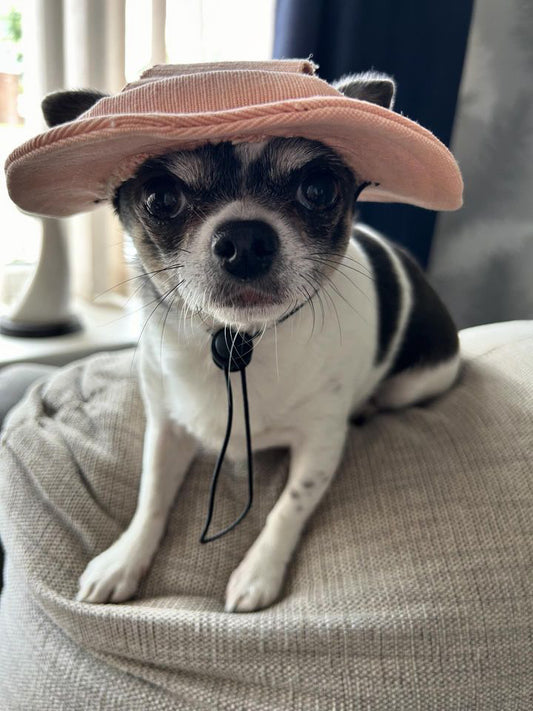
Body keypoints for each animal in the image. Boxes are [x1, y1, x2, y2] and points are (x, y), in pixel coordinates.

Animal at [41, 71, 460, 612]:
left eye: (319, 189)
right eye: (161, 198)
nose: (244, 239)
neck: (236, 342)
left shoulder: (320, 443)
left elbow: (288, 507)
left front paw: (258, 572)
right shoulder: (167, 427)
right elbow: (151, 495)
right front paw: (124, 558)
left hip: (413, 384)